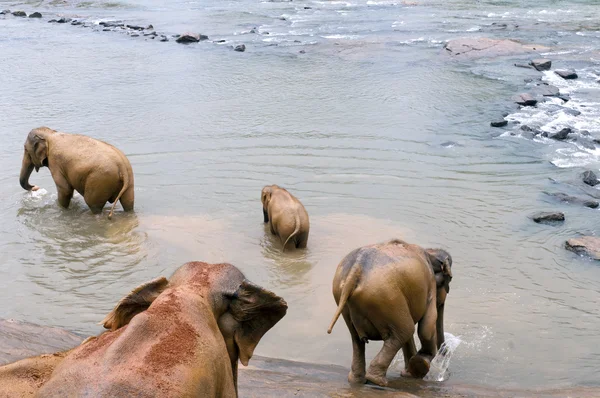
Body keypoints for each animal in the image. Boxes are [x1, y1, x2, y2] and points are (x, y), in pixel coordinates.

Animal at [326, 239, 452, 386]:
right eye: (449, 281)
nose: (446, 351)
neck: (430, 253)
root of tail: (356, 269)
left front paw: (409, 373)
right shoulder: (430, 283)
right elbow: (426, 327)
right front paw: (418, 367)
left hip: (345, 298)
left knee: (357, 339)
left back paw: (358, 380)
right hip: (386, 296)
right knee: (406, 330)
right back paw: (379, 381)